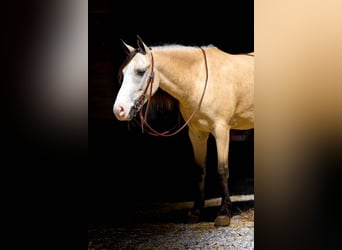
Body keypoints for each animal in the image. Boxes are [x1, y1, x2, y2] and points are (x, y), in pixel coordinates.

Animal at [113, 35, 254, 227]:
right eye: (123, 72)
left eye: (140, 72)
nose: (119, 110)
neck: (200, 80)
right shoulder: (196, 134)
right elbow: (199, 171)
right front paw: (195, 212)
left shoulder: (221, 131)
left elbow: (222, 171)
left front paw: (224, 213)